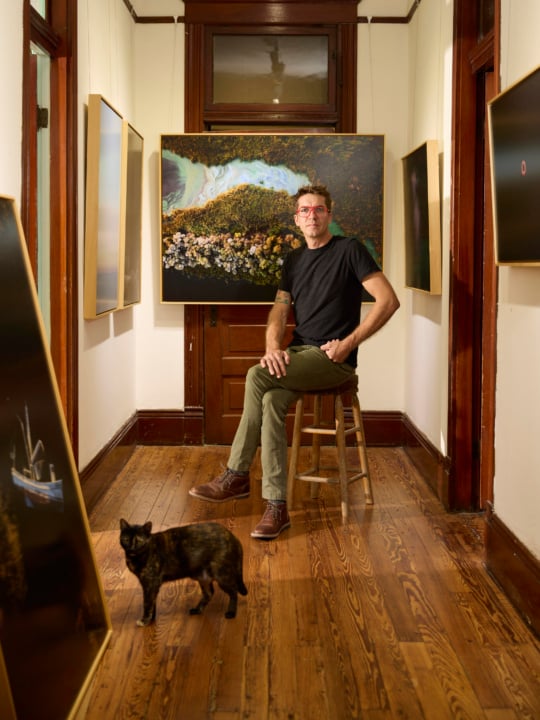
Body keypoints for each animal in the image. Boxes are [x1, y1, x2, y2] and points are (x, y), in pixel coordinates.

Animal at [119, 516, 248, 624]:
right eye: (126, 539)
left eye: (139, 540)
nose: (131, 548)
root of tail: (232, 536)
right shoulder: (150, 585)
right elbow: (152, 601)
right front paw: (151, 620)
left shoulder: (150, 583)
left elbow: (147, 602)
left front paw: (145, 621)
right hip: (203, 577)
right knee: (209, 593)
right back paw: (197, 610)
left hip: (221, 575)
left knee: (233, 591)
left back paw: (231, 613)